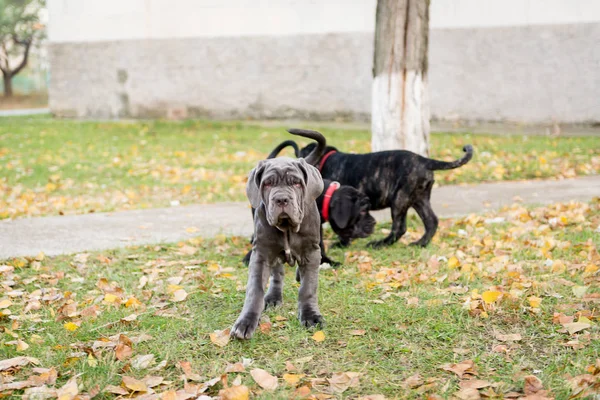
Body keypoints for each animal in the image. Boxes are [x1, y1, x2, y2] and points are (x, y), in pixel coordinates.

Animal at [230, 155, 324, 338]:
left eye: (296, 183)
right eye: (267, 184)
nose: (281, 199)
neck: (287, 227)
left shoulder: (311, 252)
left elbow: (308, 287)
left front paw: (310, 316)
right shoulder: (261, 253)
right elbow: (255, 289)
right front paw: (245, 322)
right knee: (277, 274)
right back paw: (273, 296)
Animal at [292, 132, 474, 247]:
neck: (326, 160)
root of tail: (424, 160)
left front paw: (342, 243)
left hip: (399, 200)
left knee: (399, 227)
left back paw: (380, 244)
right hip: (419, 198)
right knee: (431, 221)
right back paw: (420, 243)